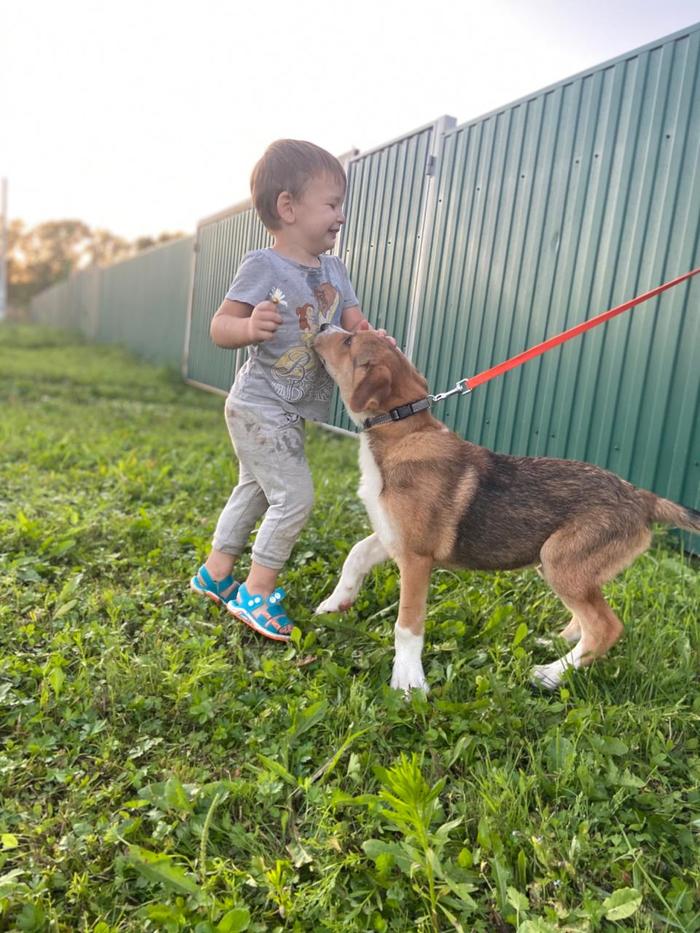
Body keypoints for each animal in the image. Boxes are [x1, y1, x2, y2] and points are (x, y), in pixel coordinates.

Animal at [313, 326, 700, 692]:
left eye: (348, 341)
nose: (321, 326)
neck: (400, 431)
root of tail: (641, 496)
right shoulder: (393, 536)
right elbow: (356, 554)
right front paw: (334, 603)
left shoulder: (416, 558)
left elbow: (406, 626)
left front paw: (408, 682)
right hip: (566, 566)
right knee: (588, 618)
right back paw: (555, 644)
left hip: (560, 560)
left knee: (606, 627)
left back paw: (551, 675)